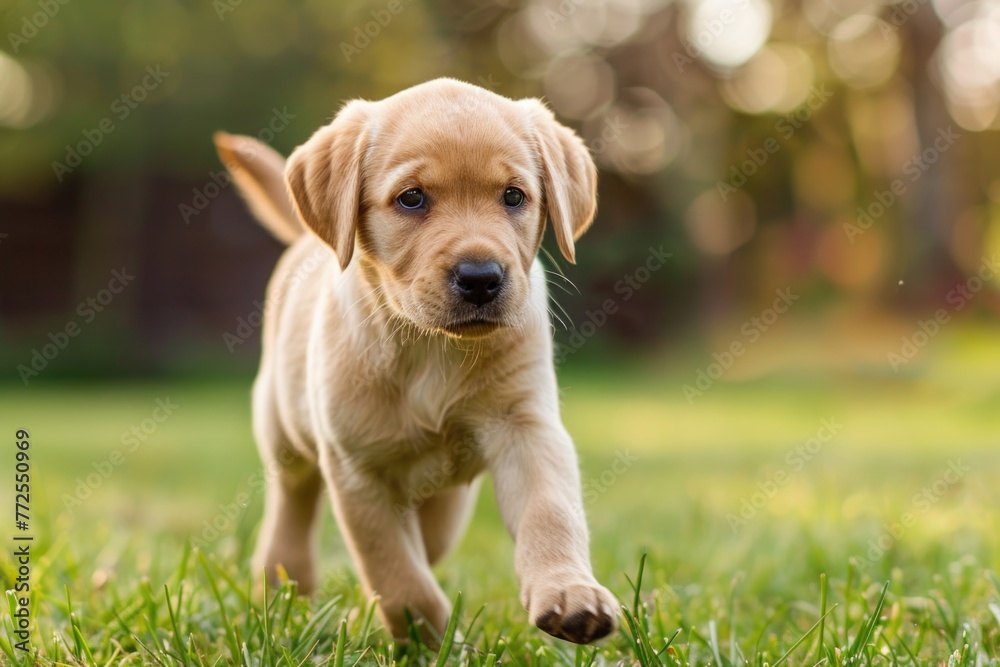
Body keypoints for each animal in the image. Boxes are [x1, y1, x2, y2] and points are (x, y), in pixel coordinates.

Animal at [215, 78, 612, 648]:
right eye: (412, 198)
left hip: (447, 505)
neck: (432, 348)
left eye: (514, 196)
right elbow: (399, 576)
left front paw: (570, 593)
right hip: (283, 432)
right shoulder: (358, 472)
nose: (481, 277)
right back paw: (282, 588)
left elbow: (550, 512)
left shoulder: (527, 427)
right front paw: (437, 642)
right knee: (292, 507)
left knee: (430, 538)